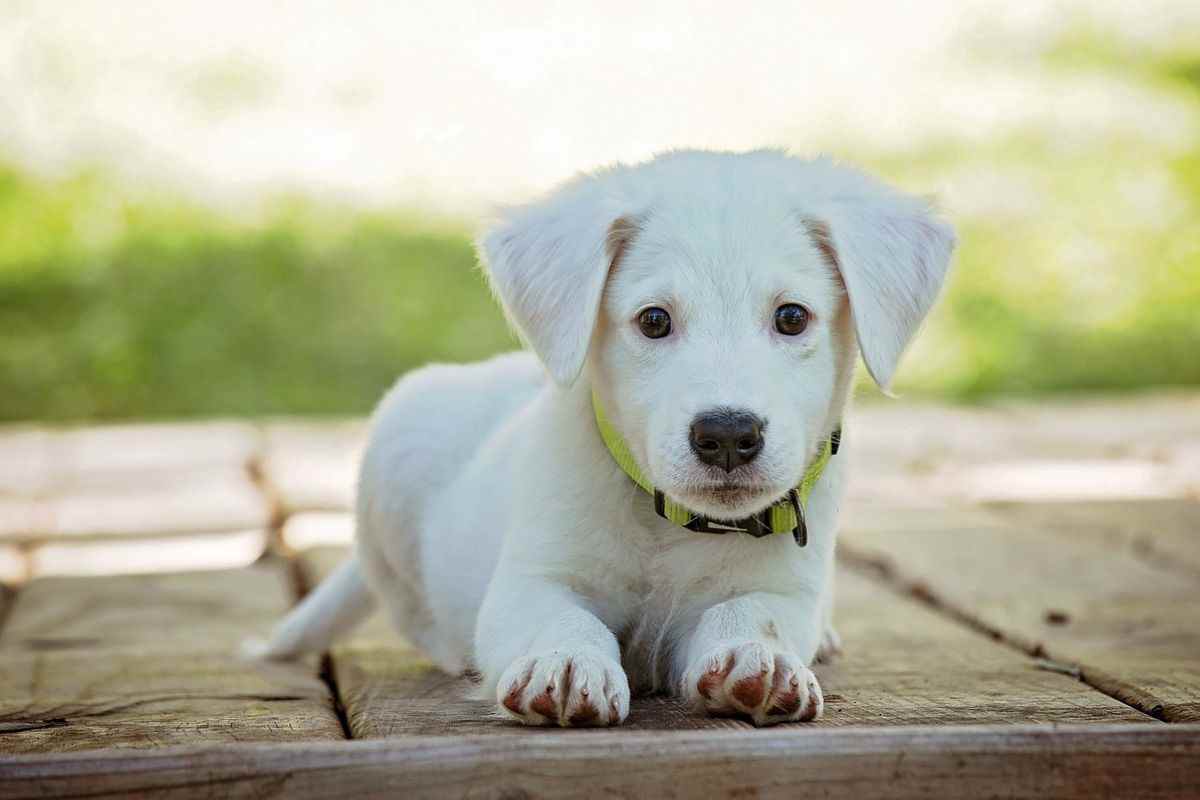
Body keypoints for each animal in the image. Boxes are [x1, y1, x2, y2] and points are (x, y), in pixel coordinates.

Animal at [255, 148, 955, 724]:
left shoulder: (783, 588)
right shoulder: (530, 580)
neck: (669, 524)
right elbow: (561, 618)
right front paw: (566, 663)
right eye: (653, 321)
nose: (728, 435)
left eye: (791, 317)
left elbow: (752, 612)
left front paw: (758, 658)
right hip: (396, 453)